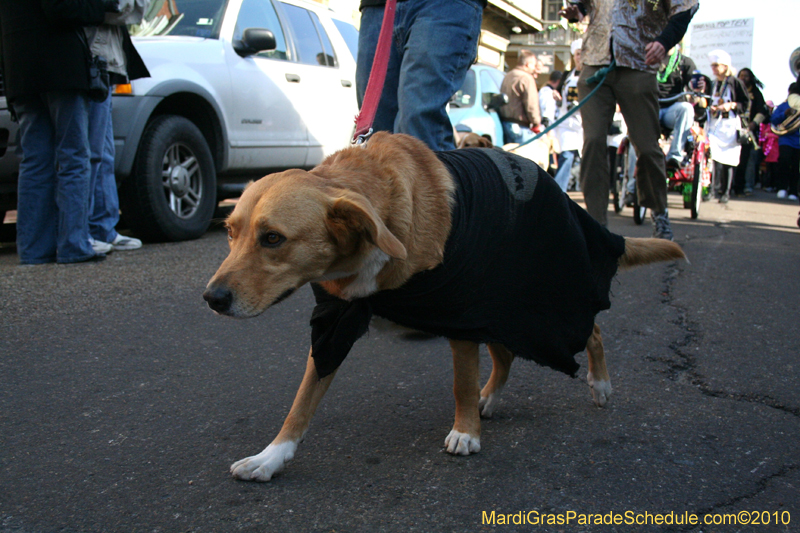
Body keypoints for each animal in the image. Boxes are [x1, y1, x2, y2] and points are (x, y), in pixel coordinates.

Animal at [203, 131, 684, 480]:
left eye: (273, 238)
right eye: (229, 232)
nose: (212, 298)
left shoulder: (462, 317)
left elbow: (461, 384)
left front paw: (465, 431)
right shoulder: (336, 321)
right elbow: (302, 402)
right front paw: (271, 456)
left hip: (540, 298)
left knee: (592, 330)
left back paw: (599, 385)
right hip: (499, 305)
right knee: (506, 354)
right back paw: (492, 397)